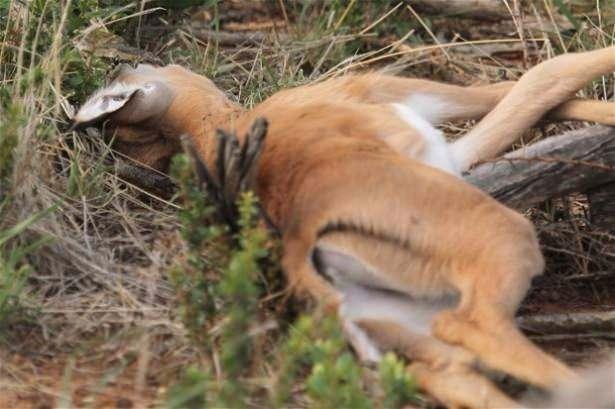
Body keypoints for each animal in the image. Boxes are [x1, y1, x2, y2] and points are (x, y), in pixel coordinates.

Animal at [73, 46, 615, 406]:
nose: (121, 60)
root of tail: (300, 242)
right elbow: (543, 77)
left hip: (407, 324)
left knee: (457, 372)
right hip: (503, 244)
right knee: (475, 329)